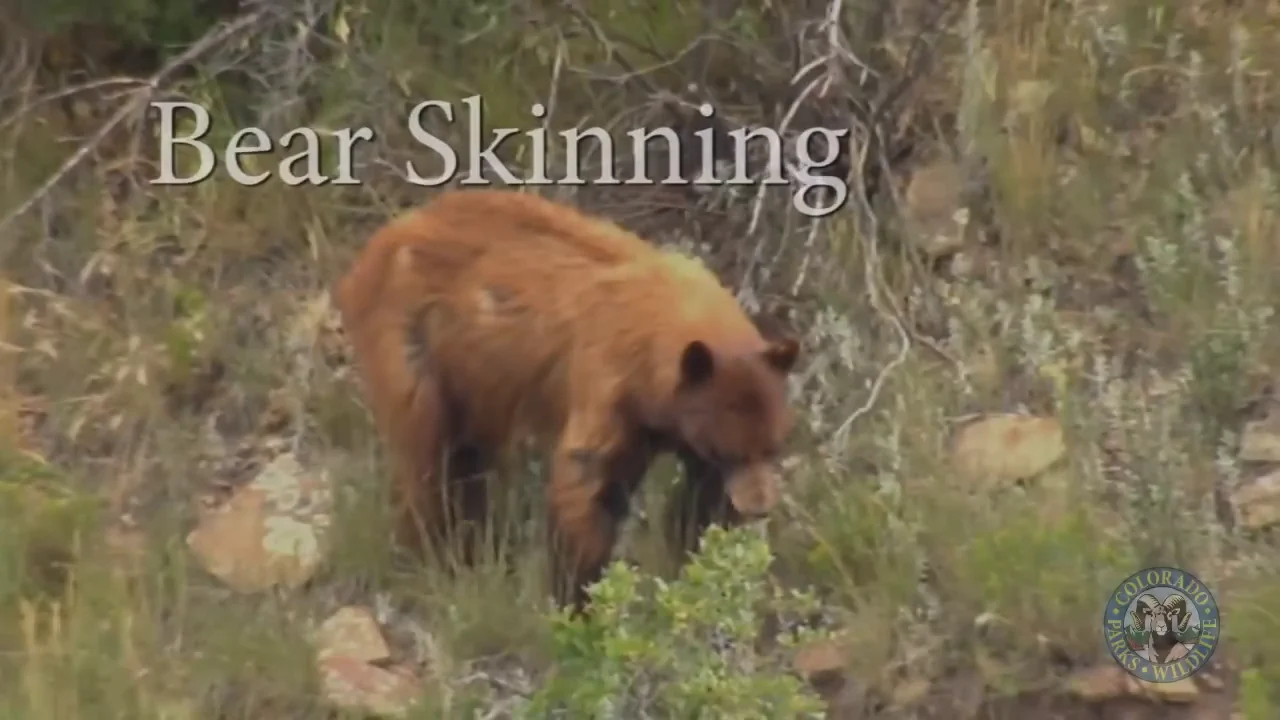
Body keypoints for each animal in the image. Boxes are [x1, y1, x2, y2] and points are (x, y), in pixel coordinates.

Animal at [333, 188, 800, 610]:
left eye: (772, 445)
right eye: (730, 449)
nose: (759, 506)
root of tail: (374, 247)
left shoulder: (683, 423)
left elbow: (700, 497)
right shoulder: (610, 384)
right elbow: (586, 486)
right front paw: (578, 598)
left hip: (472, 382)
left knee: (468, 459)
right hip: (411, 347)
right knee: (429, 461)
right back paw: (434, 554)